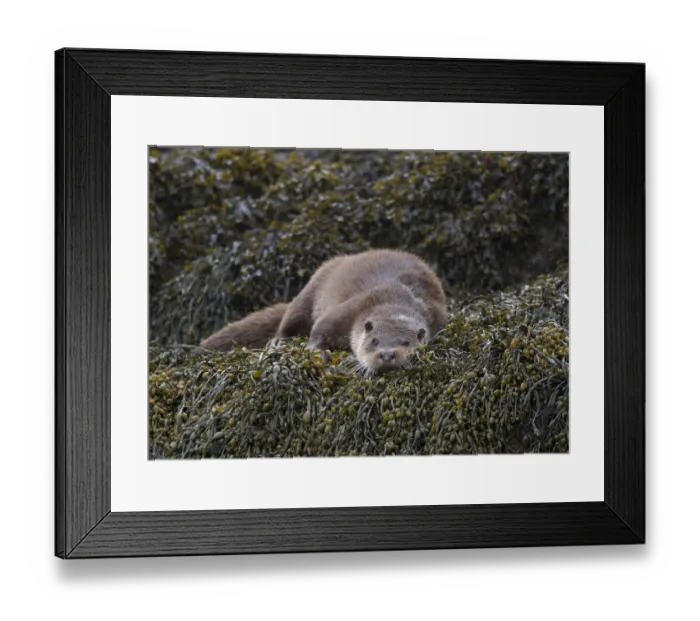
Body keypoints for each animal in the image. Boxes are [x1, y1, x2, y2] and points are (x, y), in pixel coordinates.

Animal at [198, 249, 448, 374]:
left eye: (406, 343)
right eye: (374, 341)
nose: (387, 354)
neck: (396, 298)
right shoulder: (350, 310)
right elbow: (320, 328)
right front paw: (318, 352)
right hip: (310, 290)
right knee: (290, 319)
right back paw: (280, 342)